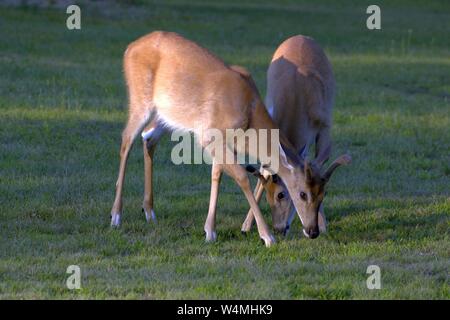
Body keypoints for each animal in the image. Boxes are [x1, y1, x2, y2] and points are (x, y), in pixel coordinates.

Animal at [109, 30, 334, 245]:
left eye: (323, 193)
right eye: (300, 193)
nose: (312, 231)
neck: (249, 113)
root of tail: (129, 48)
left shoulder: (225, 142)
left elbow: (216, 174)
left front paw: (210, 231)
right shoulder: (209, 135)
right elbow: (241, 177)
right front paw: (267, 237)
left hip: (165, 115)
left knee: (148, 138)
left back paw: (149, 212)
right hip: (140, 100)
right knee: (126, 140)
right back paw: (116, 216)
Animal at [243, 35, 352, 236]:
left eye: (282, 194)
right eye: (271, 194)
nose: (279, 228)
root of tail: (300, 36)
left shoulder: (325, 126)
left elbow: (317, 165)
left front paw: (322, 223)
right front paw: (246, 225)